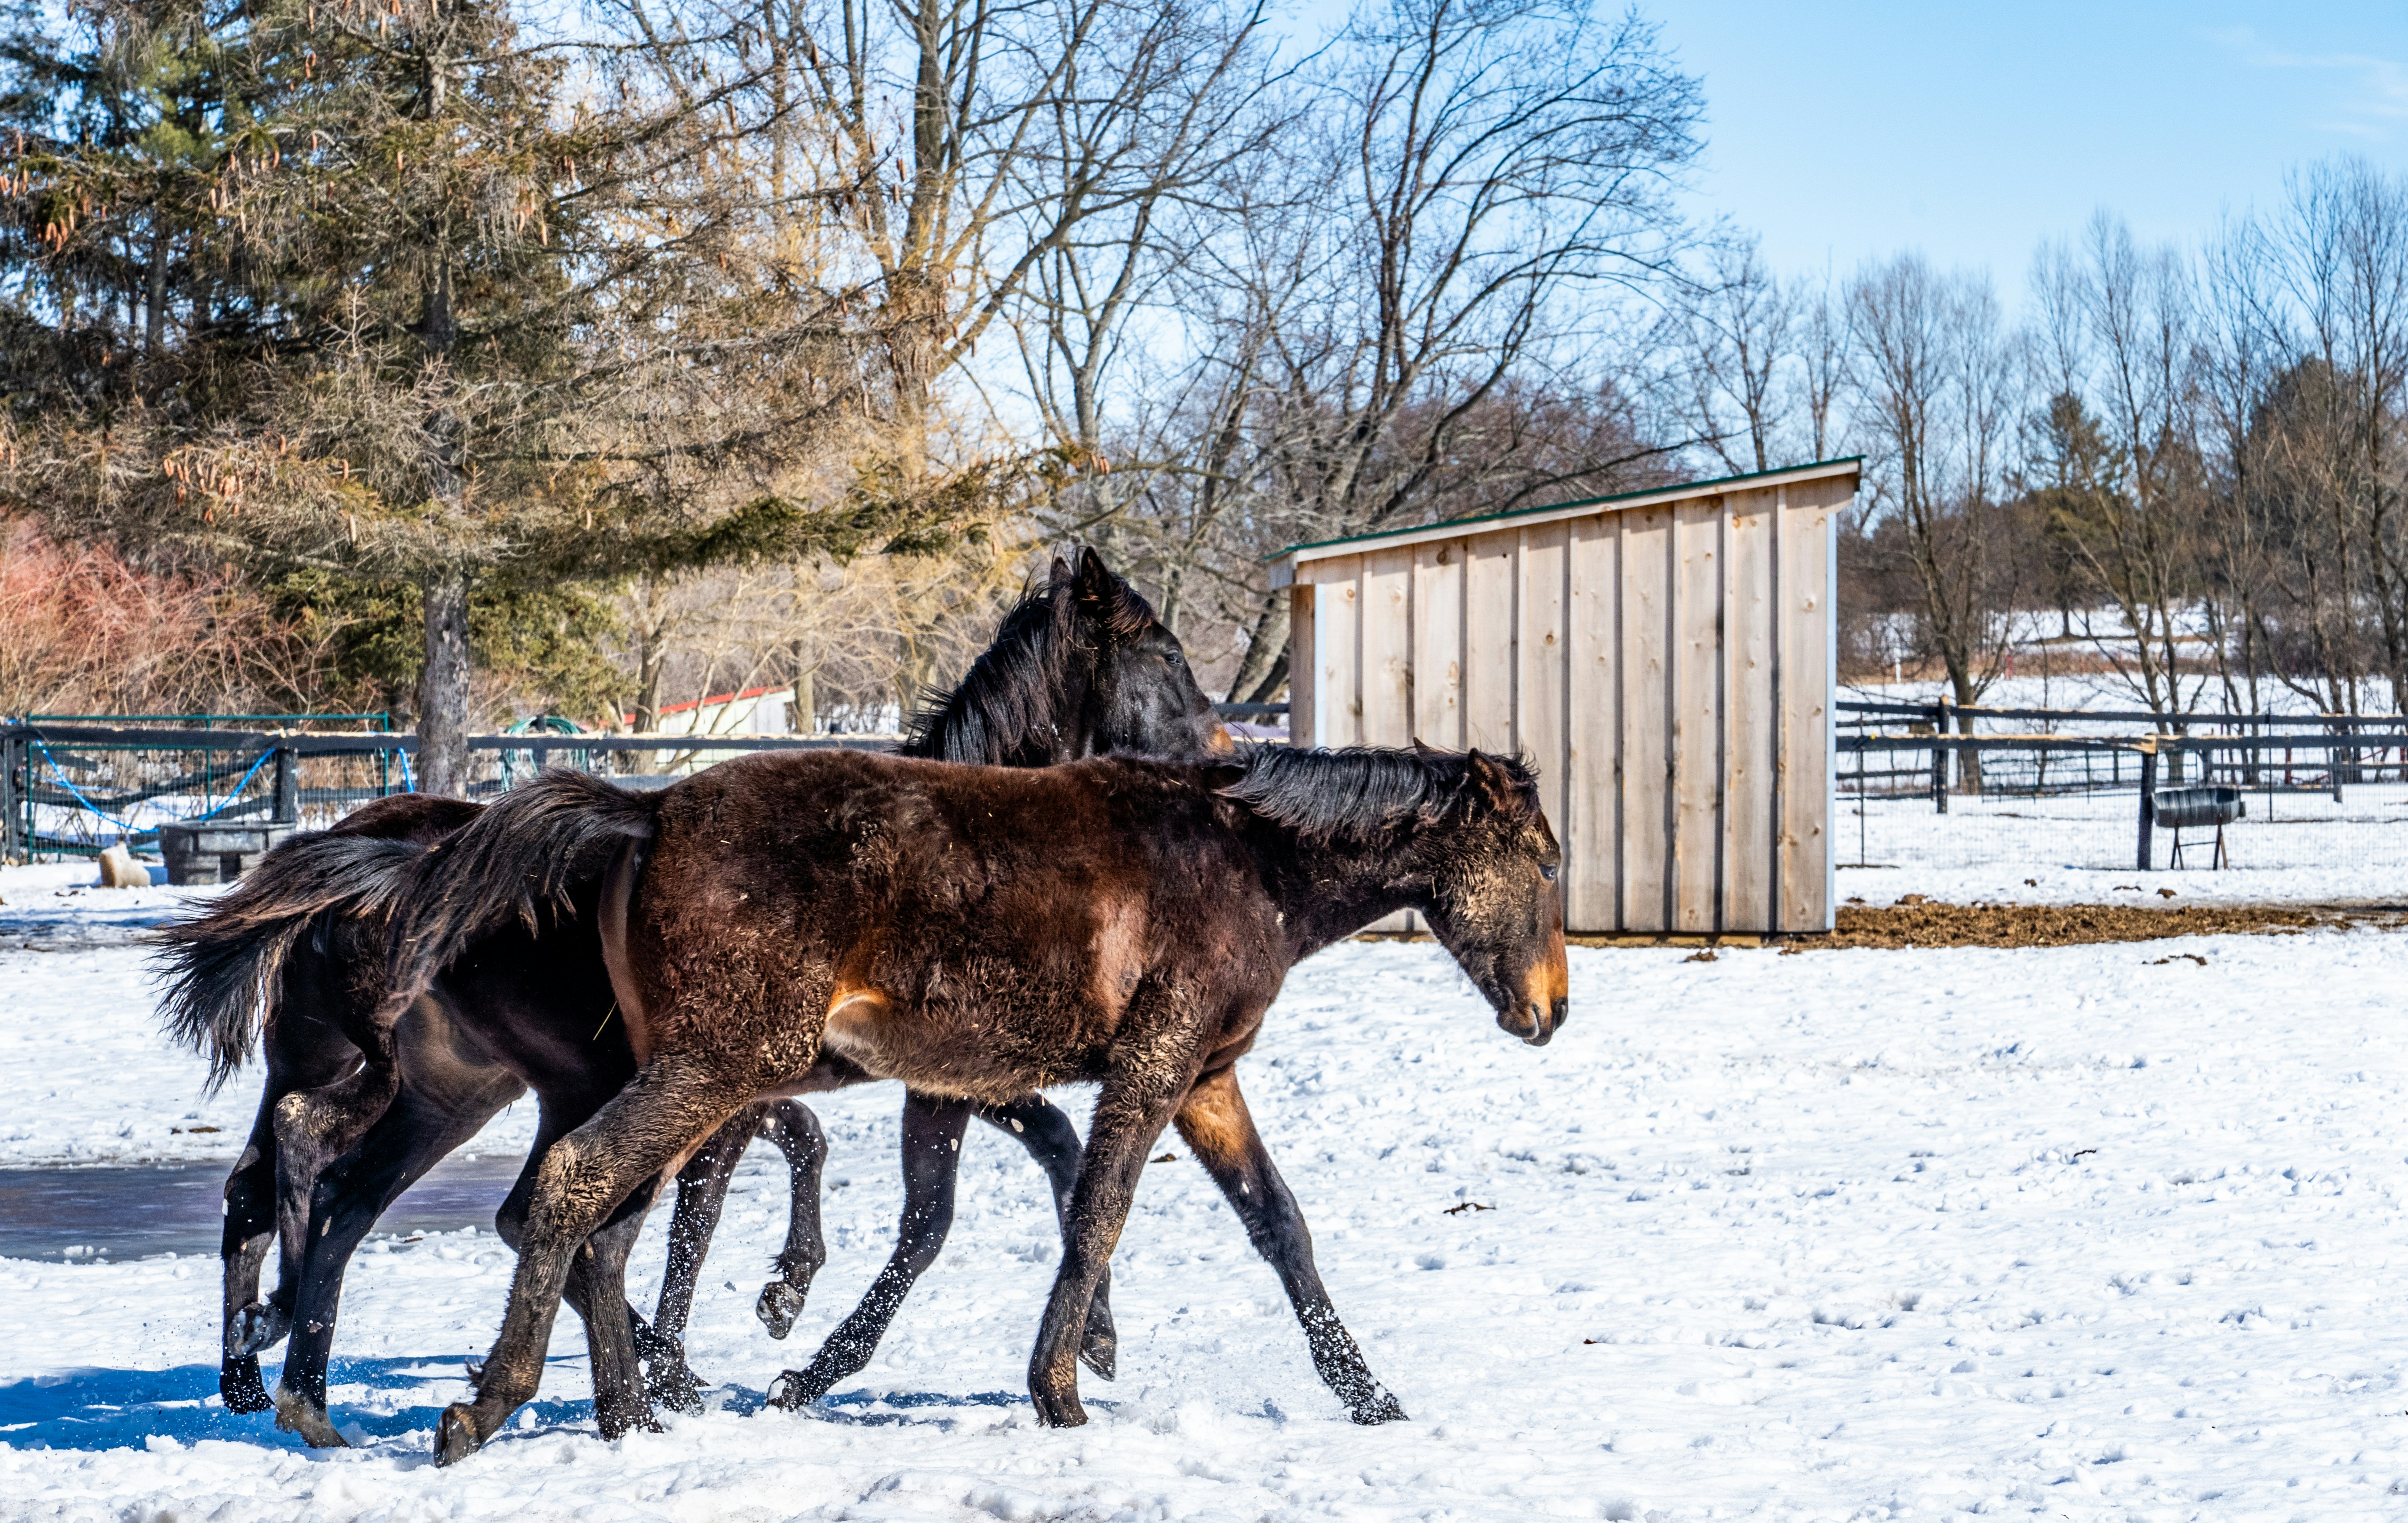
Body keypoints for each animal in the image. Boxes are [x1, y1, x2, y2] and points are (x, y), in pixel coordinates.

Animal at [154, 546, 1230, 1445]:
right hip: (507, 1081)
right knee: (394, 1181)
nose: (1225, 752)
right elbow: (754, 1198)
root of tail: (363, 854)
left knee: (317, 1184)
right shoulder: (806, 1080)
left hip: (454, 1088)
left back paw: (287, 1383)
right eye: (1166, 655)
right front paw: (768, 1319)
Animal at [365, 742, 1570, 1461]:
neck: (1248, 867)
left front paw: (1368, 1393)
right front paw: (1061, 1388)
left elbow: (1280, 1226)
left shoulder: (1205, 1081)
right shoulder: (1151, 1068)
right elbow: (1095, 1212)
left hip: (692, 1077)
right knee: (577, 1187)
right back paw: (491, 1404)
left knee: (605, 1230)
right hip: (718, 1067)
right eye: (1548, 861)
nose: (1553, 1008)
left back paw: (631, 1417)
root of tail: (647, 810)